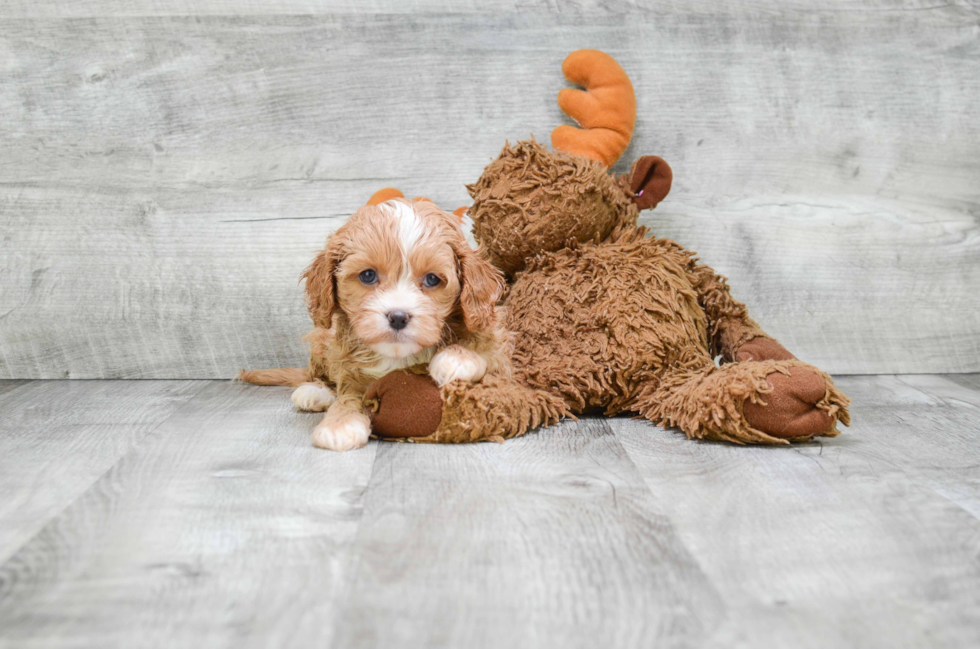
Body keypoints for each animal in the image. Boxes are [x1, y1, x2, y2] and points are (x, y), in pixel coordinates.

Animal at [241, 197, 510, 450]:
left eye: (432, 279)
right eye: (368, 275)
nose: (398, 316)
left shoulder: (501, 348)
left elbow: (485, 344)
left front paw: (456, 358)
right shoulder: (347, 362)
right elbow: (348, 390)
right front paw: (340, 423)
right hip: (321, 340)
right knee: (317, 375)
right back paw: (314, 391)